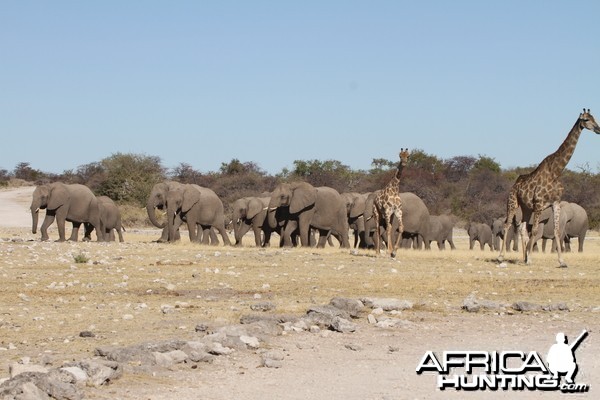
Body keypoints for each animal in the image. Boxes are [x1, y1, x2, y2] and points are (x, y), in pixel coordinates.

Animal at [496, 108, 600, 268]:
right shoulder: (539, 204)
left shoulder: (555, 203)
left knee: (523, 228)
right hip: (513, 202)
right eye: (586, 119)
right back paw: (501, 257)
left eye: (594, 118)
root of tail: (514, 185)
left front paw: (562, 261)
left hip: (526, 208)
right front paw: (531, 259)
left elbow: (557, 231)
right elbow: (535, 230)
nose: (598, 129)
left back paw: (523, 257)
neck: (556, 171)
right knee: (508, 225)